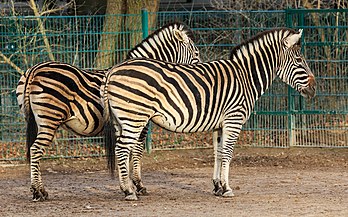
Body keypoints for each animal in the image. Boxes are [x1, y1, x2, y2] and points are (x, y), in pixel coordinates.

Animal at [15, 22, 201, 202]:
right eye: (196, 53)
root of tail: (35, 70)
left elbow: (127, 151)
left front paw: (127, 184)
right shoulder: (139, 121)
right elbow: (136, 150)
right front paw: (137, 185)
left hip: (37, 120)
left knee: (34, 150)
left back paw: (39, 190)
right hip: (49, 119)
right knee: (36, 150)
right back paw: (38, 192)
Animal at [102, 28, 316, 201]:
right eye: (299, 60)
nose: (314, 89)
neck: (245, 77)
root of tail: (113, 69)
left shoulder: (220, 124)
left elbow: (218, 153)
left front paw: (218, 186)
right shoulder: (233, 119)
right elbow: (228, 153)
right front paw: (227, 188)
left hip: (123, 120)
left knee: (123, 149)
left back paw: (127, 188)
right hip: (135, 117)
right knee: (122, 149)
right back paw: (129, 191)